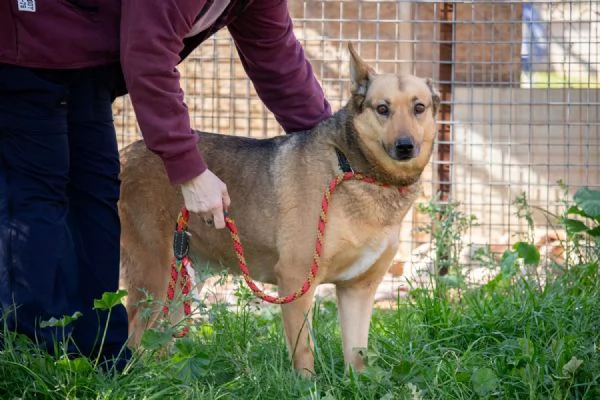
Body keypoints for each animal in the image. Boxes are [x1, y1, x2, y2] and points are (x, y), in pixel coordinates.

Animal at [118, 43, 440, 376]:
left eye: (419, 108)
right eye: (382, 109)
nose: (405, 146)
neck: (353, 167)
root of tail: (126, 152)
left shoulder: (358, 290)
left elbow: (357, 355)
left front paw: (359, 381)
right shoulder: (296, 282)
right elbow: (304, 352)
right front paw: (307, 384)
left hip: (182, 281)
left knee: (163, 341)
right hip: (152, 279)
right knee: (134, 338)